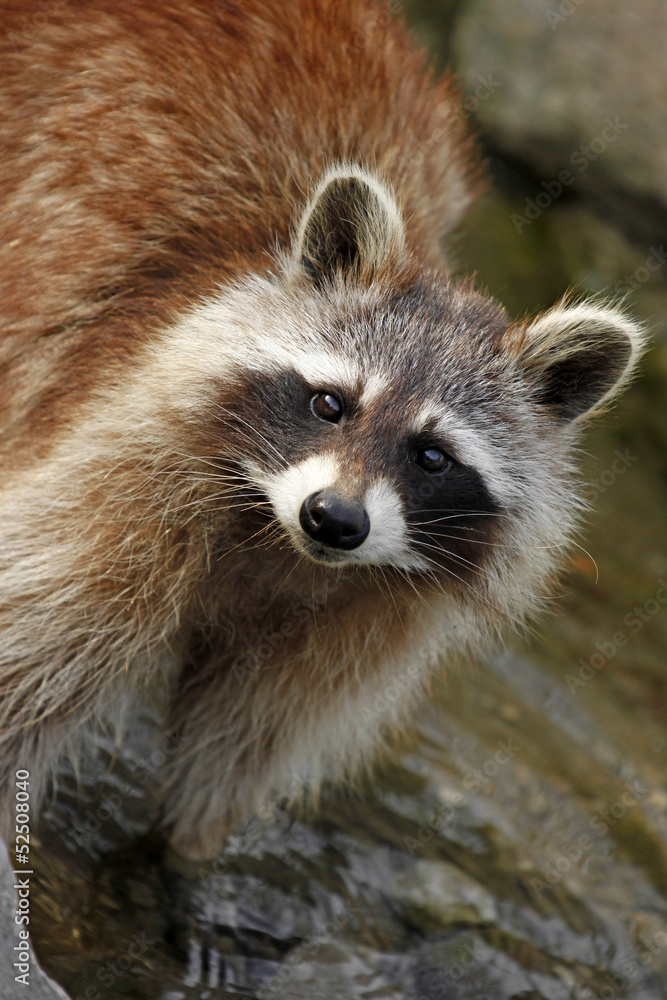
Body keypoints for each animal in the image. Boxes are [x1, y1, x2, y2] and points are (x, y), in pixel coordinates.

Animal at [1, 0, 648, 860]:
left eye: (431, 456)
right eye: (331, 405)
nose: (334, 519)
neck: (275, 541)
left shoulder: (371, 615)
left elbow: (233, 753)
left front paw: (177, 867)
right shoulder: (123, 464)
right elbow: (28, 665)